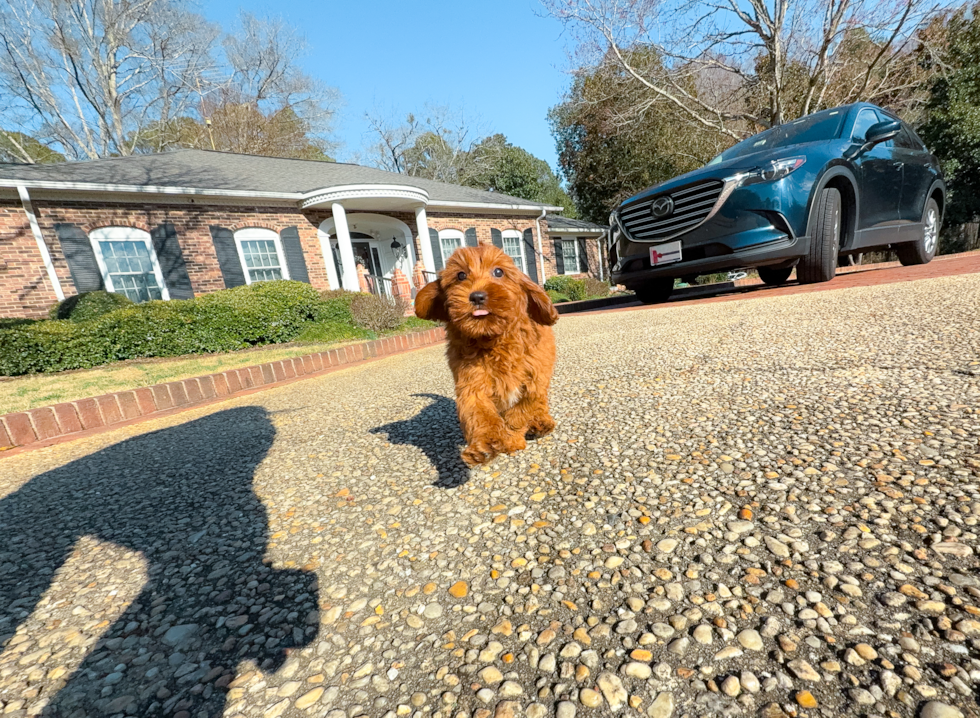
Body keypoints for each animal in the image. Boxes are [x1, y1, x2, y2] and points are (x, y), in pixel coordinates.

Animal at [414, 245, 560, 466]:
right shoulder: (472, 383)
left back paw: (541, 422)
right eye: (461, 275)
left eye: (498, 272)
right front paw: (485, 446)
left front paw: (513, 434)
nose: (476, 296)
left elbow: (524, 406)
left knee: (541, 403)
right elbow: (479, 413)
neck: (493, 339)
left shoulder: (535, 374)